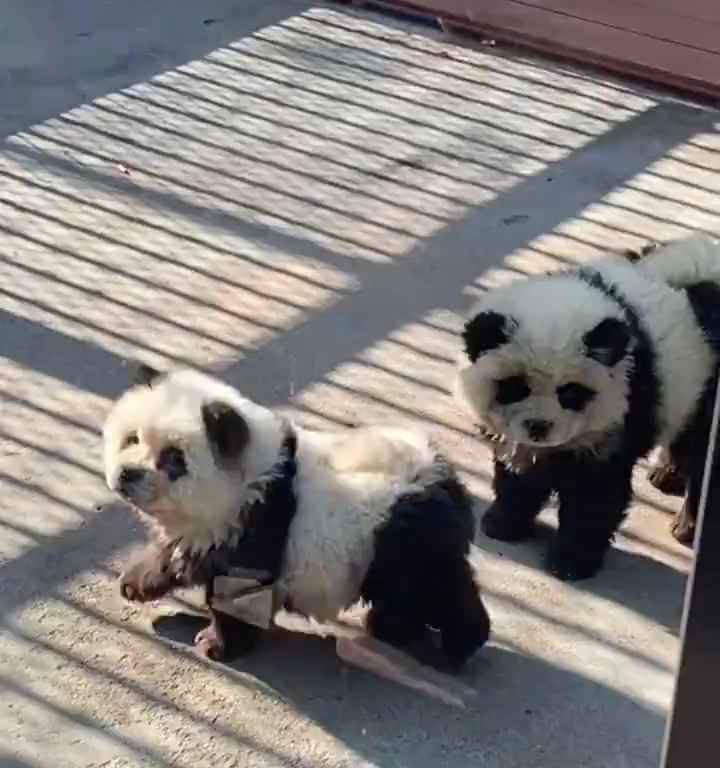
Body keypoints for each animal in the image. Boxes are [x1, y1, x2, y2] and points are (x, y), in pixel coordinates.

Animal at [104, 366, 490, 704]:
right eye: (131, 438)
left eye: (173, 458)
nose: (127, 474)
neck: (252, 477)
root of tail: (446, 479)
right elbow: (181, 551)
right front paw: (137, 582)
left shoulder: (256, 525)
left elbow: (237, 593)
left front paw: (217, 644)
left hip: (400, 537)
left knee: (432, 590)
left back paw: (452, 643)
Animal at [456, 234, 720, 584]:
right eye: (516, 387)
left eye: (570, 393)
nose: (539, 427)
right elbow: (519, 474)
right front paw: (503, 523)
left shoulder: (620, 417)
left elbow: (595, 497)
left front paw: (570, 561)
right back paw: (667, 474)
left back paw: (687, 525)